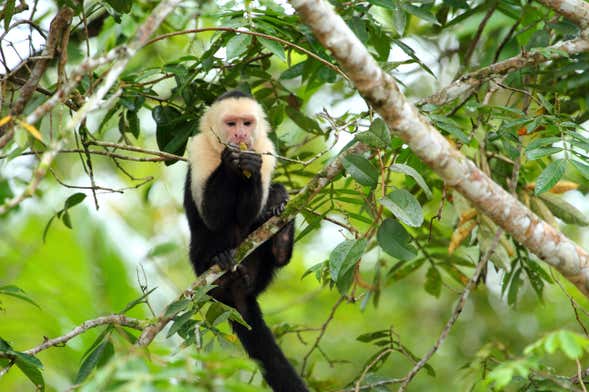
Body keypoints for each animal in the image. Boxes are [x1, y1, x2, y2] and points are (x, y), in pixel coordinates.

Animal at [183, 90, 308, 390]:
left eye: (247, 123)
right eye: (231, 123)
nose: (240, 135)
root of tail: (239, 296)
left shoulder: (265, 148)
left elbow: (250, 210)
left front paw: (259, 180)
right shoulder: (199, 149)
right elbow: (212, 216)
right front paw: (230, 162)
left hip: (260, 276)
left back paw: (280, 235)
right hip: (200, 267)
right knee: (211, 233)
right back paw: (220, 260)